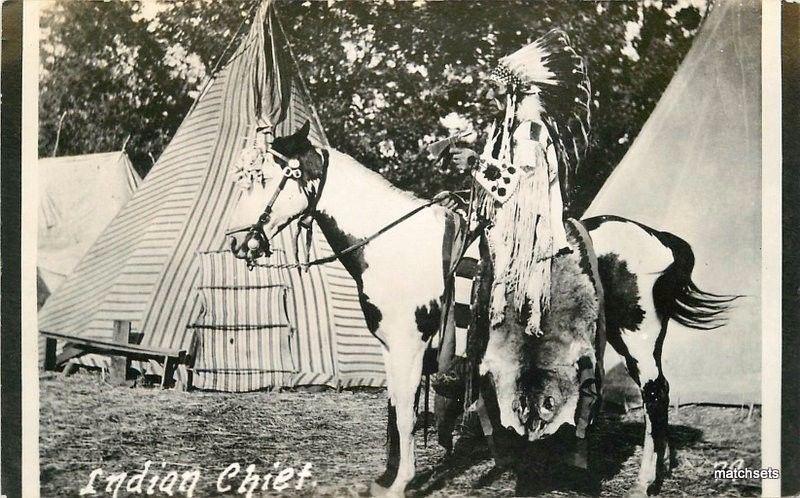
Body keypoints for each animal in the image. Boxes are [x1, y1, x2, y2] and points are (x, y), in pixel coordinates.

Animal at [225, 122, 736, 496]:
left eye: (267, 179)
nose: (236, 243)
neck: (394, 245)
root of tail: (657, 237)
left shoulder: (408, 345)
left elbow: (405, 410)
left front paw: (402, 482)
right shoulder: (394, 347)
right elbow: (394, 407)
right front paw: (388, 478)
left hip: (637, 336)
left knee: (655, 393)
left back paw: (645, 481)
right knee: (659, 394)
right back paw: (657, 464)